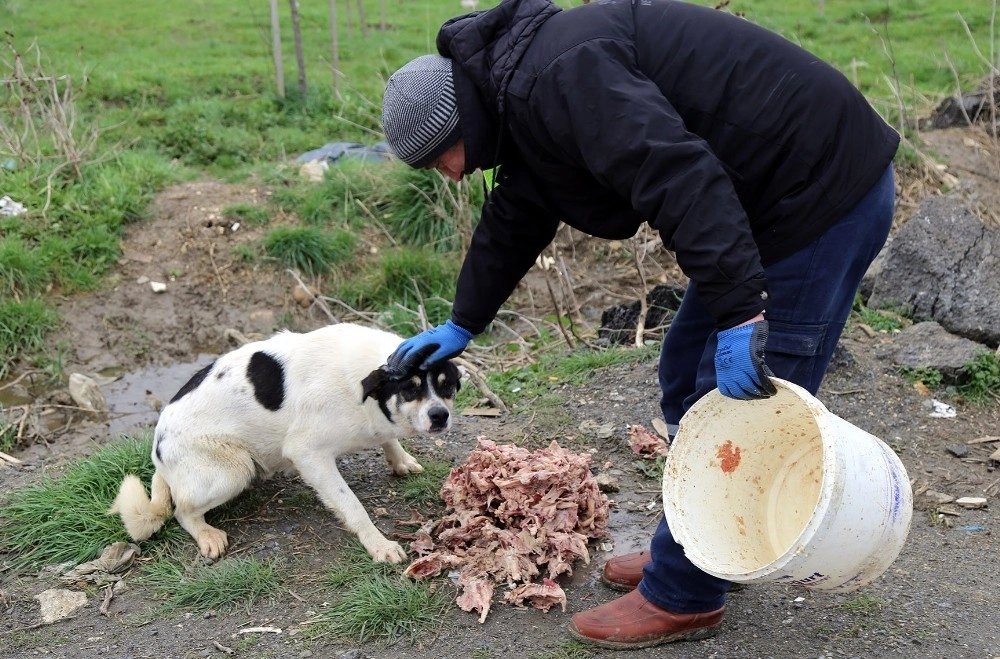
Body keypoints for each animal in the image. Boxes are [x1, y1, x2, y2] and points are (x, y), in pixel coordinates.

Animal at [111, 322, 462, 564]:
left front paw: (400, 459)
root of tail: (158, 452)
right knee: (182, 511)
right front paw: (378, 544)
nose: (440, 416)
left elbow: (388, 439)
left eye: (447, 387)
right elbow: (351, 505)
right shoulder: (308, 453)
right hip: (233, 469)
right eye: (410, 389)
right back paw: (207, 534)